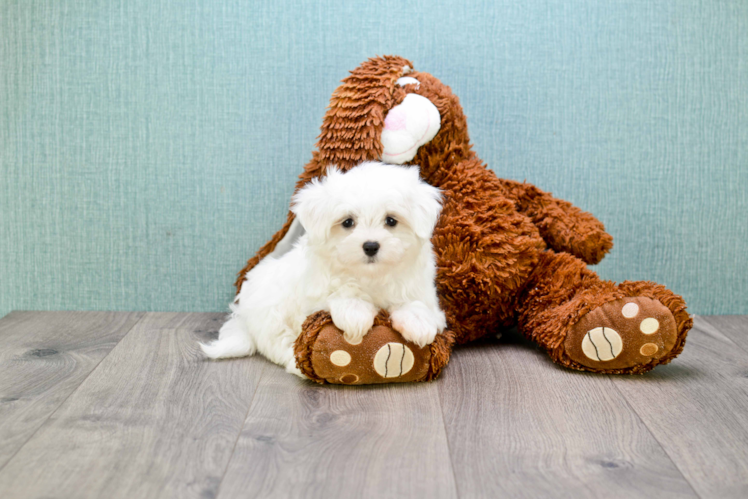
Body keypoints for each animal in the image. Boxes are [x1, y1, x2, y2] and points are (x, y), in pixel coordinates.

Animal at [200, 162, 444, 376]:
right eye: (347, 222)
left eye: (391, 221)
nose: (371, 246)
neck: (369, 276)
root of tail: (242, 315)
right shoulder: (314, 293)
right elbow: (339, 292)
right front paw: (355, 312)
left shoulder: (419, 287)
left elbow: (415, 302)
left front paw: (418, 322)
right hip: (272, 314)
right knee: (281, 343)